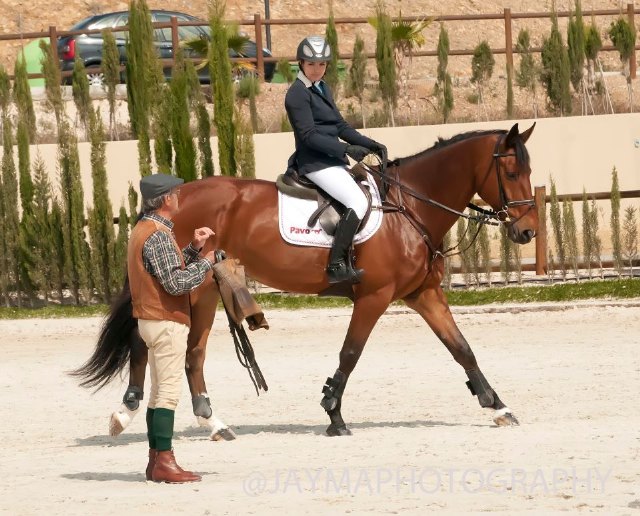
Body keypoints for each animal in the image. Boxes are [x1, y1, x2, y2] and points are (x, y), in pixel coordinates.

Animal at [72, 123, 536, 438]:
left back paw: (188, 418)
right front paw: (334, 412)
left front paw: (497, 407)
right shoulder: (375, 296)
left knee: (175, 351)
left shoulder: (423, 293)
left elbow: (462, 348)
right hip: (193, 289)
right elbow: (351, 353)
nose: (528, 231)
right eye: (512, 174)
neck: (409, 207)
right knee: (168, 349)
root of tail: (172, 202)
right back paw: (143, 414)